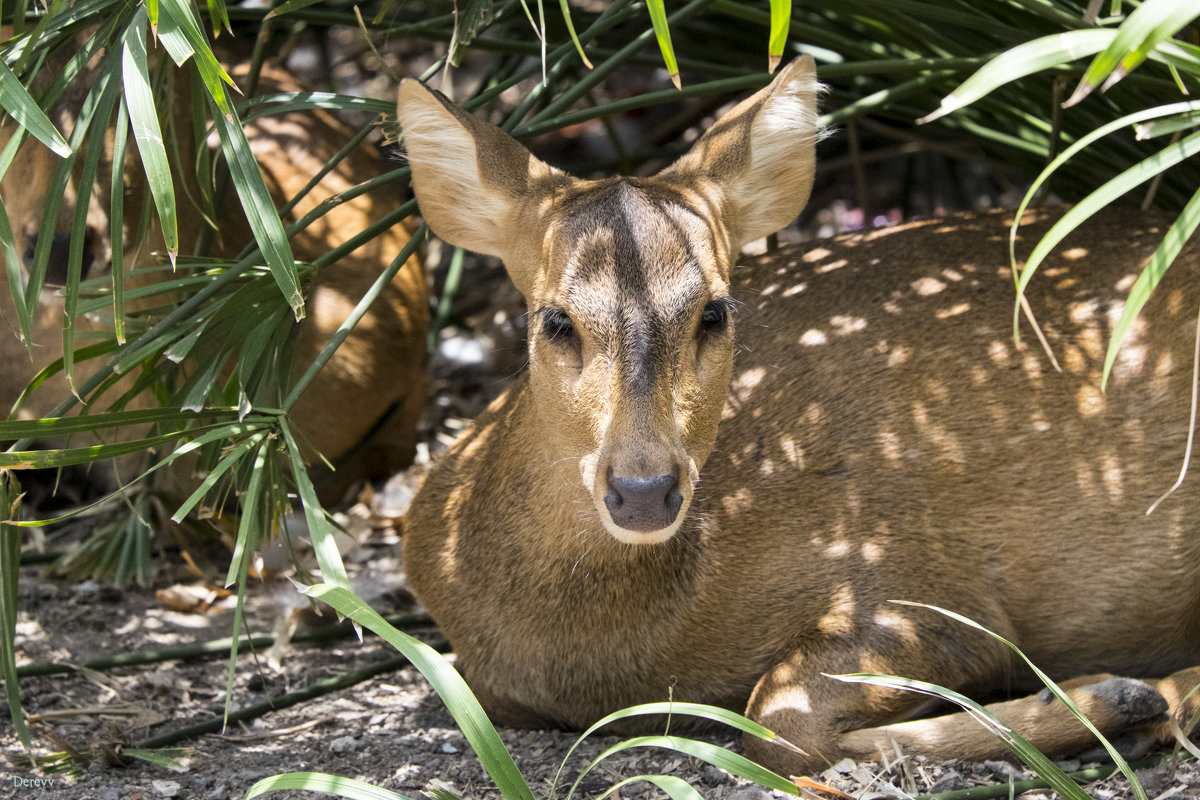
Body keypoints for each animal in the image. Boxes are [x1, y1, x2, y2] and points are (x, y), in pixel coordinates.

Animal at [398, 57, 1200, 777]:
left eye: (714, 311)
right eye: (555, 320)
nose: (644, 490)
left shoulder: (920, 581)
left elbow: (780, 723)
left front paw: (1116, 696)